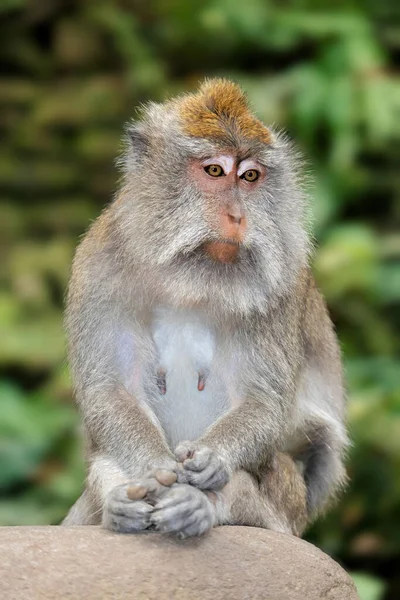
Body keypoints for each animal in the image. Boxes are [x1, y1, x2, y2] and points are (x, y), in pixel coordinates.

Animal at [62, 81, 346, 540]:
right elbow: (111, 390)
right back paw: (120, 506)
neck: (191, 282)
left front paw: (213, 462)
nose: (237, 215)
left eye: (250, 176)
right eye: (214, 171)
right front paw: (154, 471)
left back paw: (202, 506)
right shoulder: (98, 266)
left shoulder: (281, 286)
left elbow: (263, 401)